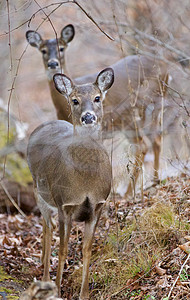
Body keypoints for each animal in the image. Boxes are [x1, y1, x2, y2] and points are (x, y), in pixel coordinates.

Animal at [25, 25, 169, 197]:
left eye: (61, 48)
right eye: (43, 50)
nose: (53, 64)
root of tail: (164, 68)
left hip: (135, 113)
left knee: (143, 145)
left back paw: (129, 193)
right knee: (156, 139)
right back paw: (154, 181)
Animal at [26, 67, 114, 298]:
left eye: (97, 97)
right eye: (75, 100)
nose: (88, 116)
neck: (85, 182)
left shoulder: (97, 206)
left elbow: (87, 250)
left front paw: (84, 294)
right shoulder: (64, 203)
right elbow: (63, 248)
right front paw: (57, 289)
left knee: (47, 226)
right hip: (39, 192)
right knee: (48, 229)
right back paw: (45, 277)